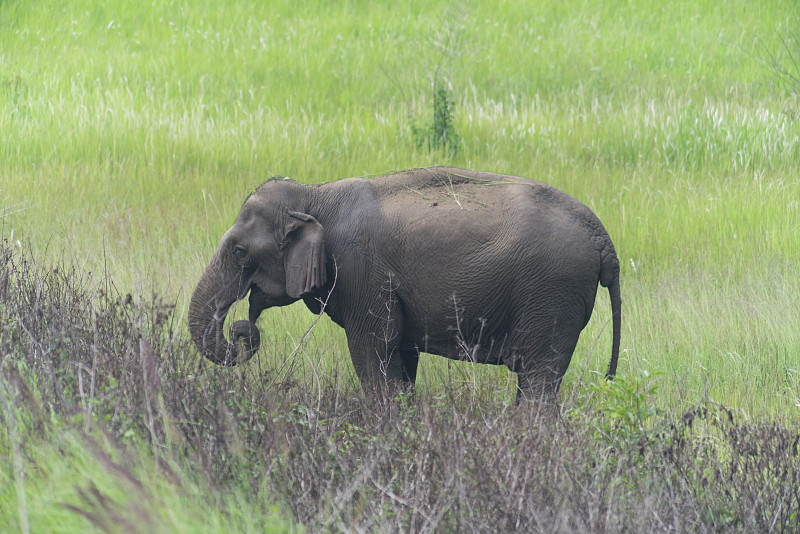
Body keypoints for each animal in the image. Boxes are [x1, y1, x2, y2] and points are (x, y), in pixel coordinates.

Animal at [186, 168, 620, 402]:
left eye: (239, 251)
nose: (243, 330)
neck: (316, 194)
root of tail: (604, 239)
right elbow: (400, 358)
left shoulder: (361, 272)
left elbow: (373, 354)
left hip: (551, 294)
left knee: (537, 380)